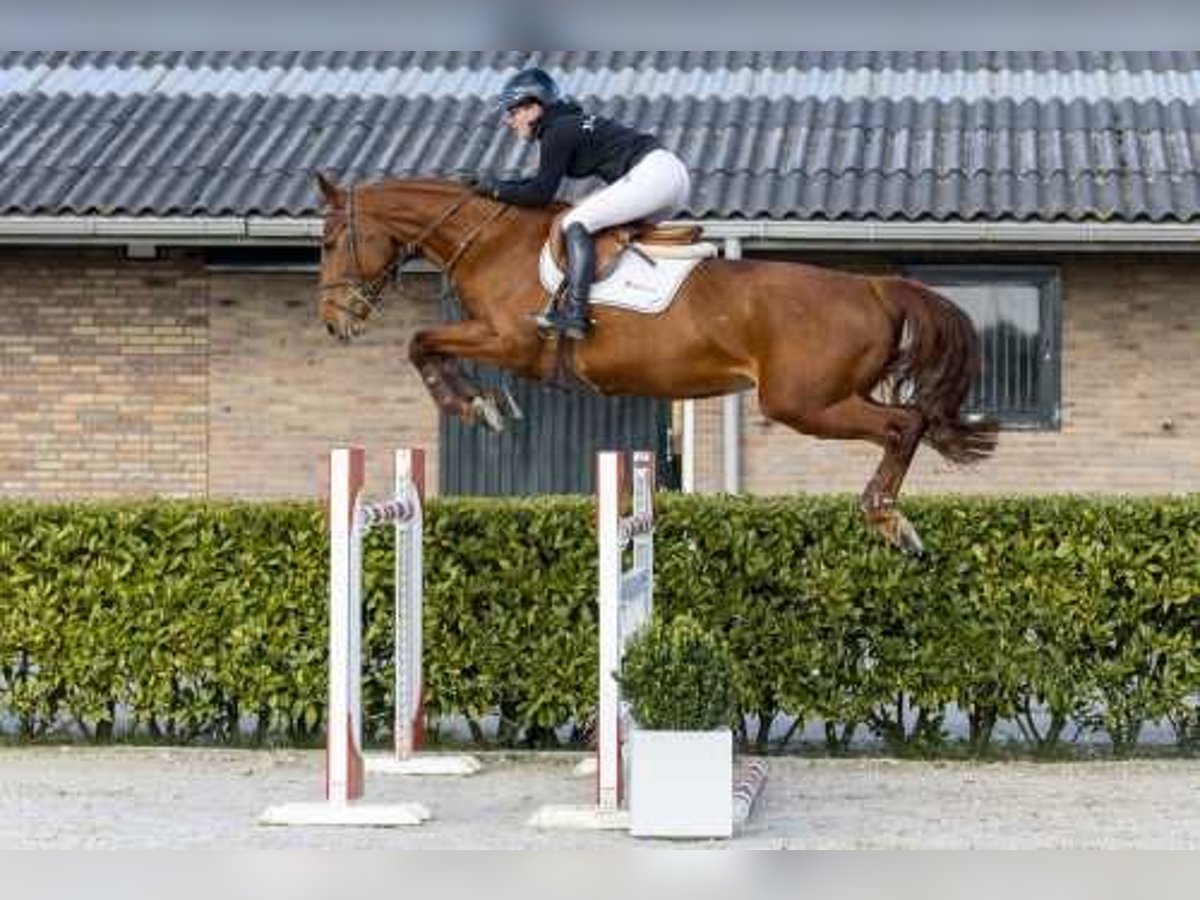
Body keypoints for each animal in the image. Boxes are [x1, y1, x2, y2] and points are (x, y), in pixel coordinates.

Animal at [314, 174, 998, 556]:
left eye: (327, 241)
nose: (333, 321)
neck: (493, 241)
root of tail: (876, 288)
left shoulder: (510, 341)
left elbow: (421, 341)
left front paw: (472, 403)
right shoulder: (495, 340)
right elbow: (427, 343)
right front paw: (482, 403)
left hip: (804, 403)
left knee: (904, 425)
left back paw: (888, 519)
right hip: (825, 398)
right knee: (909, 423)